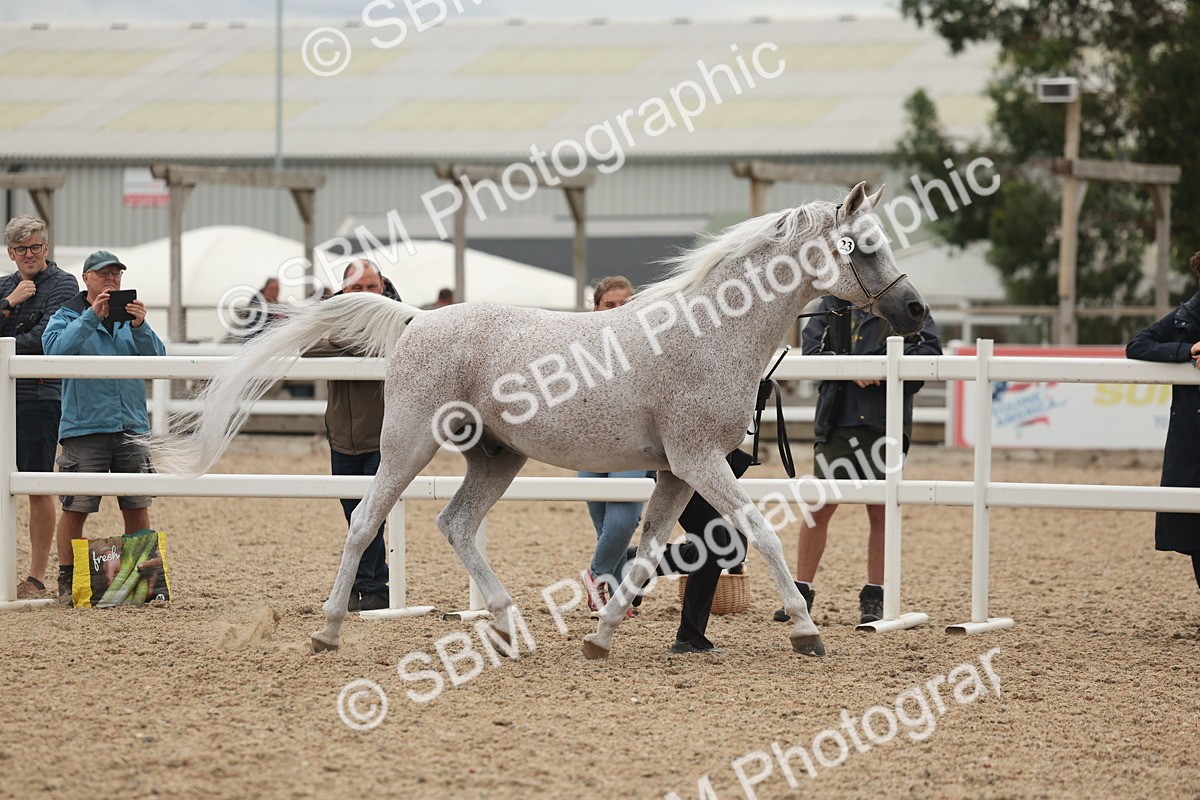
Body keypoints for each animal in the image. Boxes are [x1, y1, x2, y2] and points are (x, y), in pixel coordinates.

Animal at [155, 181, 928, 660]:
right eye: (863, 245)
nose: (916, 310)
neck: (711, 333)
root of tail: (417, 320)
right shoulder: (700, 462)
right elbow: (762, 534)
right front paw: (805, 631)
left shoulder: (677, 472)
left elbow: (645, 552)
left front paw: (601, 638)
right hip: (404, 446)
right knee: (365, 522)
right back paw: (329, 631)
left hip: (496, 457)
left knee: (457, 525)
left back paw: (510, 628)